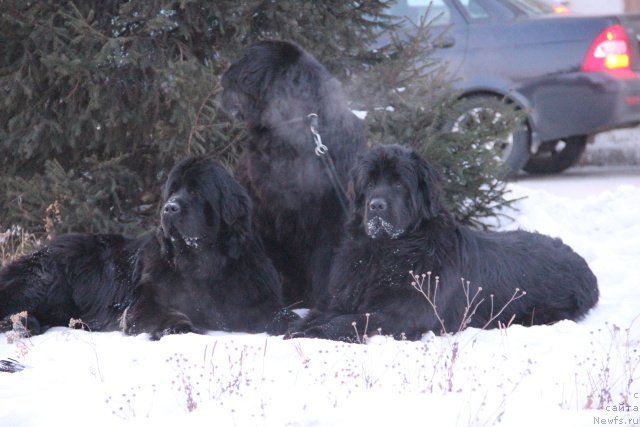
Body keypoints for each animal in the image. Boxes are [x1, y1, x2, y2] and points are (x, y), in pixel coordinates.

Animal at [0, 155, 296, 340]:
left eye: (197, 192)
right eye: (172, 191)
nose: (170, 208)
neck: (203, 266)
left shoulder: (256, 298)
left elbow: (281, 313)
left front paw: (301, 325)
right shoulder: (145, 302)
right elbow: (165, 315)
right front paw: (182, 330)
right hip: (42, 279)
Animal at [290, 145, 600, 342]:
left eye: (399, 183)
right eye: (369, 182)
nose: (376, 205)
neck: (387, 252)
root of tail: (582, 263)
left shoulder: (409, 313)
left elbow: (355, 320)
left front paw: (312, 332)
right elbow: (321, 314)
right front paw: (296, 325)